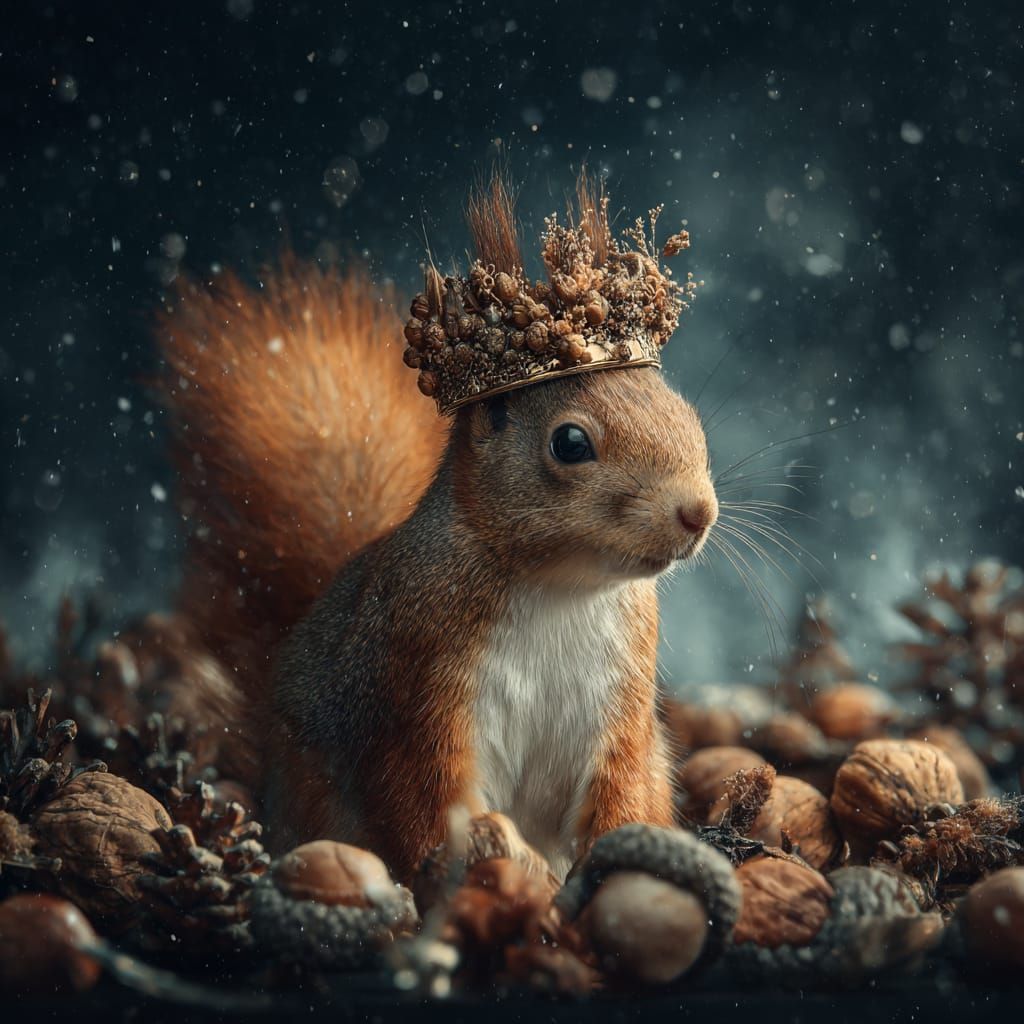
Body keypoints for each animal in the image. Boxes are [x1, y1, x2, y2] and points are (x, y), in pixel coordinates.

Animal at [158, 177, 718, 882]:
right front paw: (487, 861)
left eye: (686, 411)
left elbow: (621, 790)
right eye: (569, 443)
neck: (561, 588)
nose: (698, 512)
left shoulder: (623, 702)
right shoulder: (419, 682)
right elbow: (428, 794)